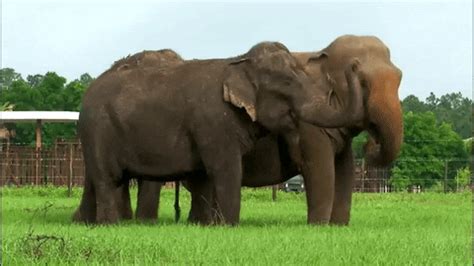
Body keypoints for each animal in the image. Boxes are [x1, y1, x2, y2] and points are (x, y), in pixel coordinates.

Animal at [74, 41, 364, 224]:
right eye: (288, 84)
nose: (354, 64)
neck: (237, 62)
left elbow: (205, 174)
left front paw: (206, 226)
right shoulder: (213, 122)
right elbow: (225, 169)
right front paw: (228, 226)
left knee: (110, 180)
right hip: (98, 131)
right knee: (107, 179)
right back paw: (111, 224)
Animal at [131, 34, 402, 225]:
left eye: (400, 78)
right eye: (362, 82)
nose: (370, 143)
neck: (320, 54)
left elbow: (344, 170)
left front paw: (338, 227)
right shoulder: (307, 127)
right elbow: (319, 169)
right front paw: (318, 227)